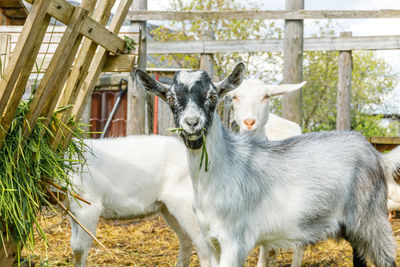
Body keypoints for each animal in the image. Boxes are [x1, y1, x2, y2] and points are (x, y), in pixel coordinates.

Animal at [68, 137, 211, 266]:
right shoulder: (74, 211)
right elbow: (75, 245)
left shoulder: (89, 206)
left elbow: (80, 248)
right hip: (168, 209)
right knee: (185, 238)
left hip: (186, 204)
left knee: (202, 242)